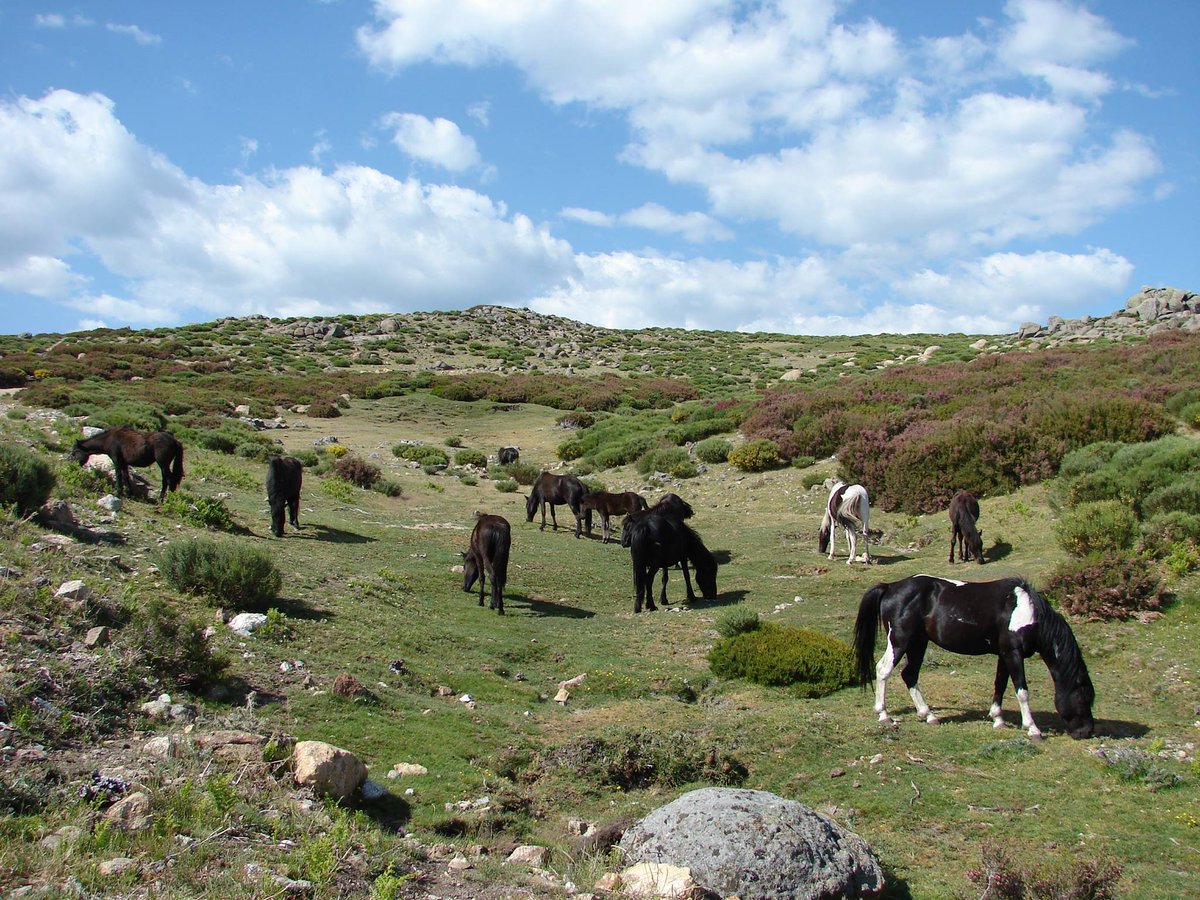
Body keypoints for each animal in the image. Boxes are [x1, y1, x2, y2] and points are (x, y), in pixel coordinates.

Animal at [852, 574, 1095, 740]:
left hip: (918, 643)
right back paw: (883, 714)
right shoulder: (1014, 654)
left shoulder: (1004, 654)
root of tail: (891, 587)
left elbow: (1000, 685)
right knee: (883, 669)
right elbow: (1022, 691)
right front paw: (1032, 728)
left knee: (909, 675)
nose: (1087, 732)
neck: (1026, 612)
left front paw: (998, 719)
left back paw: (928, 715)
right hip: (900, 641)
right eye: (1083, 697)